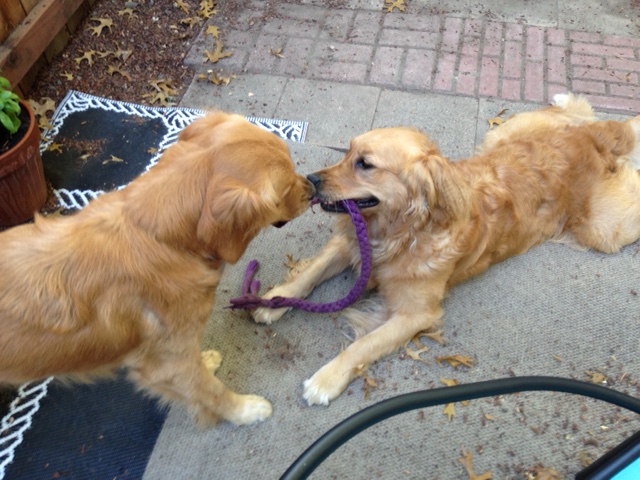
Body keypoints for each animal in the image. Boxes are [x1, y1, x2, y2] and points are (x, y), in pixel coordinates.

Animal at [0, 112, 313, 425]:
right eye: (286, 188)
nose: (312, 188)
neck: (163, 239)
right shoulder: (167, 363)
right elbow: (210, 391)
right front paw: (244, 410)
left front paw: (207, 361)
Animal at [252, 93, 640, 406]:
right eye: (346, 152)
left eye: (365, 164)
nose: (312, 181)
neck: (401, 231)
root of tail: (591, 138)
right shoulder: (350, 246)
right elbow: (310, 273)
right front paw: (274, 300)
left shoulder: (416, 313)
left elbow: (363, 345)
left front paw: (326, 378)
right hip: (502, 134)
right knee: (577, 109)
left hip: (605, 228)